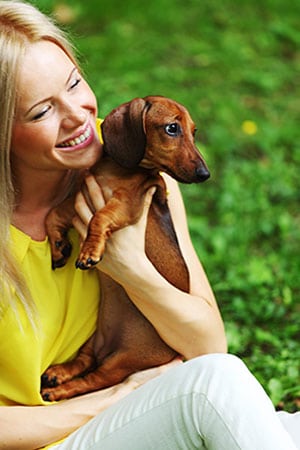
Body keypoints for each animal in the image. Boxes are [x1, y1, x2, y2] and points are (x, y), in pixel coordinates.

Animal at [39, 95, 210, 400]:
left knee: (90, 380)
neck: (118, 169)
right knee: (84, 361)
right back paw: (58, 373)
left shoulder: (128, 205)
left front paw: (89, 252)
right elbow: (53, 215)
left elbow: (99, 217)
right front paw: (59, 248)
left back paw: (57, 390)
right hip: (93, 341)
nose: (205, 174)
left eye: (194, 132)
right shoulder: (77, 199)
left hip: (121, 363)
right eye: (172, 128)